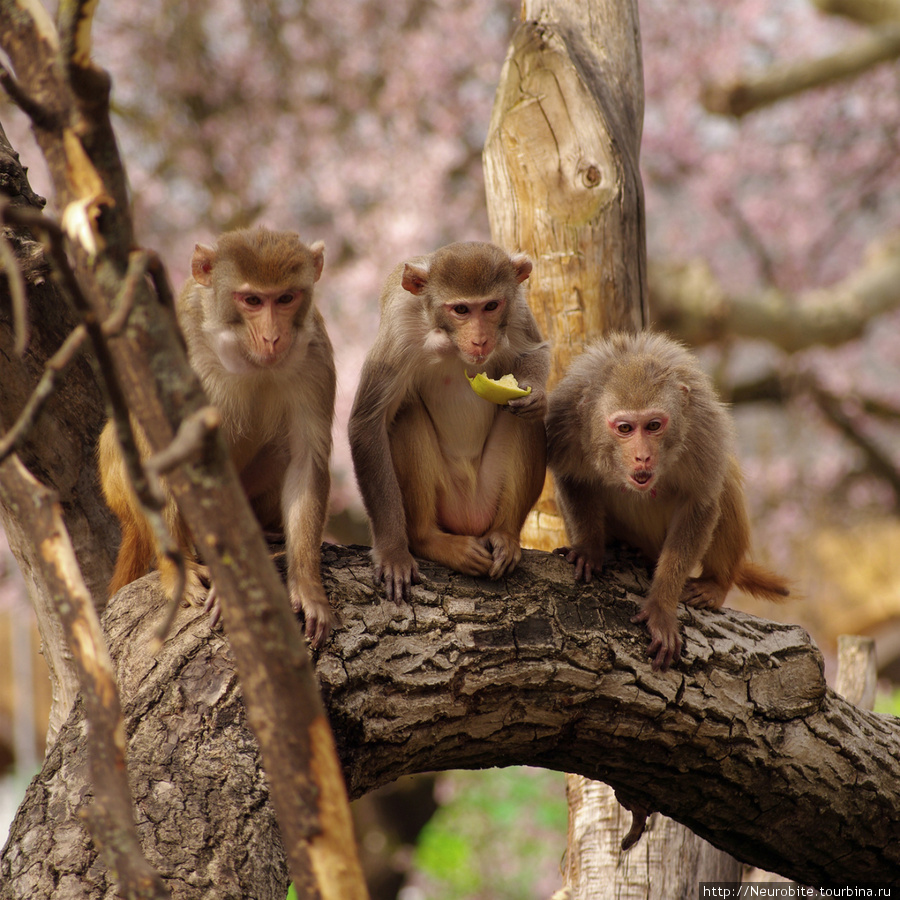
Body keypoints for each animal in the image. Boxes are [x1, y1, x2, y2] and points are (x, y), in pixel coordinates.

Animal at [97, 225, 338, 648]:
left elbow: (306, 460)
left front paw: (307, 585)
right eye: (252, 300)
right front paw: (191, 575)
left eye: (286, 298)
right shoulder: (180, 354)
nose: (272, 338)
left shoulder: (315, 357)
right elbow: (163, 444)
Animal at [350, 243, 548, 600]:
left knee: (525, 420)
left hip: (486, 498)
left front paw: (535, 396)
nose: (481, 340)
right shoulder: (400, 327)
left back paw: (506, 535)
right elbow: (368, 424)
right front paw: (393, 552)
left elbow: (534, 352)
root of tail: (470, 519)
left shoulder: (518, 309)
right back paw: (429, 541)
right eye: (461, 310)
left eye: (491, 306)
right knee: (406, 413)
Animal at [540, 330, 788, 668]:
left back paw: (716, 582)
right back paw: (624, 549)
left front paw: (661, 606)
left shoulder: (702, 432)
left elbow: (700, 501)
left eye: (654, 426)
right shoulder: (566, 424)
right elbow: (574, 478)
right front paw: (590, 548)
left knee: (725, 482)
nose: (643, 456)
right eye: (625, 428)